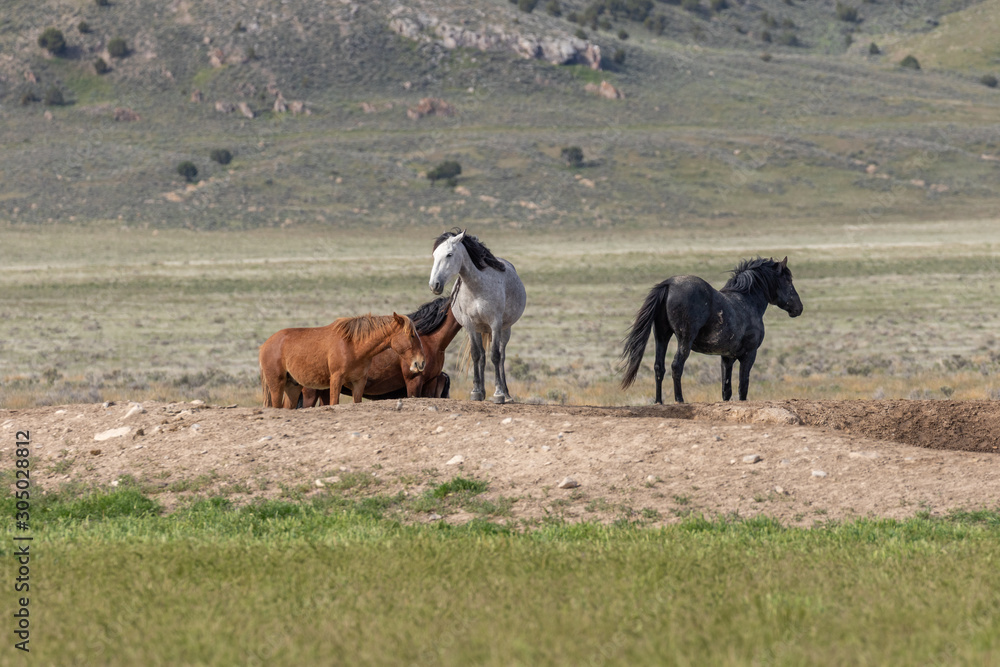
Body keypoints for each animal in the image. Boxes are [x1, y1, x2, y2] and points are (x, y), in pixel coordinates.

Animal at [258, 312, 422, 410]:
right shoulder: (336, 379)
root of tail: (264, 345)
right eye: (412, 335)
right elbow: (334, 402)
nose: (420, 363)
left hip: (292, 386)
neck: (353, 345)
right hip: (277, 385)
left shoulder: (359, 382)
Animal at [428, 230, 528, 404]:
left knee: (502, 356)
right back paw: (482, 391)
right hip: (480, 329)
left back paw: (506, 394)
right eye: (434, 255)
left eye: (449, 254)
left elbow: (495, 356)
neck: (476, 287)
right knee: (481, 355)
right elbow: (476, 354)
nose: (435, 285)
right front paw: (476, 391)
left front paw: (498, 393)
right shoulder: (470, 325)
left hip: (505, 329)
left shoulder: (495, 323)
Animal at [616, 258, 804, 404]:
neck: (747, 301)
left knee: (658, 367)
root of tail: (669, 284)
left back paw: (658, 401)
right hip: (684, 339)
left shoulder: (727, 357)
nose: (799, 308)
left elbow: (726, 390)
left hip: (662, 336)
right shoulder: (749, 354)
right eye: (788, 280)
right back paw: (680, 400)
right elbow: (743, 386)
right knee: (676, 365)